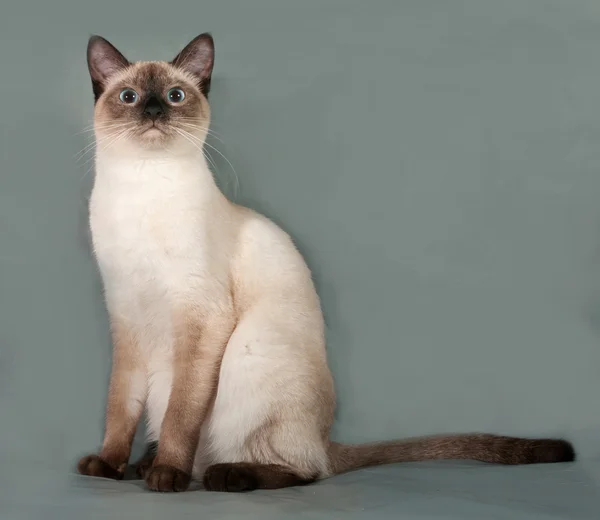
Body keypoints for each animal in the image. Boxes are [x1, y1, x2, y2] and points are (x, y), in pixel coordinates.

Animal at [76, 34, 576, 494]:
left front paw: (166, 476)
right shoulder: (125, 316)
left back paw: (222, 474)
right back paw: (144, 463)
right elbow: (119, 408)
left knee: (303, 470)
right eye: (130, 97)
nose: (153, 112)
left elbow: (182, 415)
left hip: (250, 354)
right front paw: (108, 465)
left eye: (175, 96)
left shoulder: (201, 314)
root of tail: (326, 439)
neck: (142, 187)